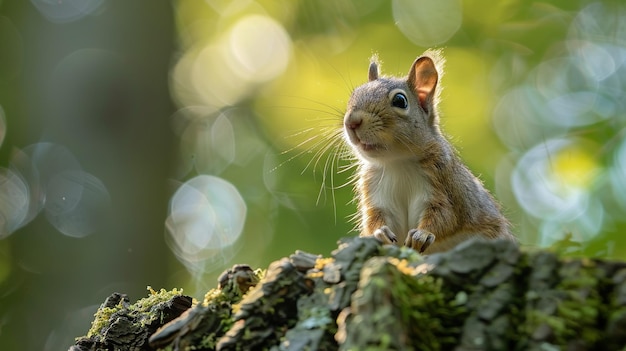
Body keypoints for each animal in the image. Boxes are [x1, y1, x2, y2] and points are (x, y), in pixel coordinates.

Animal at [344, 50, 516, 253]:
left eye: (400, 101)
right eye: (354, 94)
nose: (351, 122)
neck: (397, 162)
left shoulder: (444, 185)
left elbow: (444, 216)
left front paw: (422, 235)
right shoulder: (376, 193)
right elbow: (374, 218)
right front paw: (380, 232)